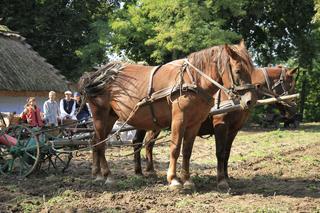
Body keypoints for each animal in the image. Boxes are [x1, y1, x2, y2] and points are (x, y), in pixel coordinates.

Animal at [80, 40, 258, 189]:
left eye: (252, 70)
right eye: (238, 71)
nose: (250, 101)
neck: (193, 81)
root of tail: (97, 75)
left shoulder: (195, 123)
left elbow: (188, 151)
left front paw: (187, 180)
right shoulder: (182, 119)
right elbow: (175, 148)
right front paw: (174, 179)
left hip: (112, 117)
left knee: (98, 141)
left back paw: (98, 174)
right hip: (100, 114)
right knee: (102, 143)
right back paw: (108, 175)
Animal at [132, 65, 298, 190]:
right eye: (289, 84)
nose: (294, 110)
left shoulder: (233, 130)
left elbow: (227, 153)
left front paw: (227, 177)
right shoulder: (221, 125)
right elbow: (220, 152)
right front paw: (221, 180)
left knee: (143, 143)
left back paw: (143, 171)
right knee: (144, 143)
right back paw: (145, 171)